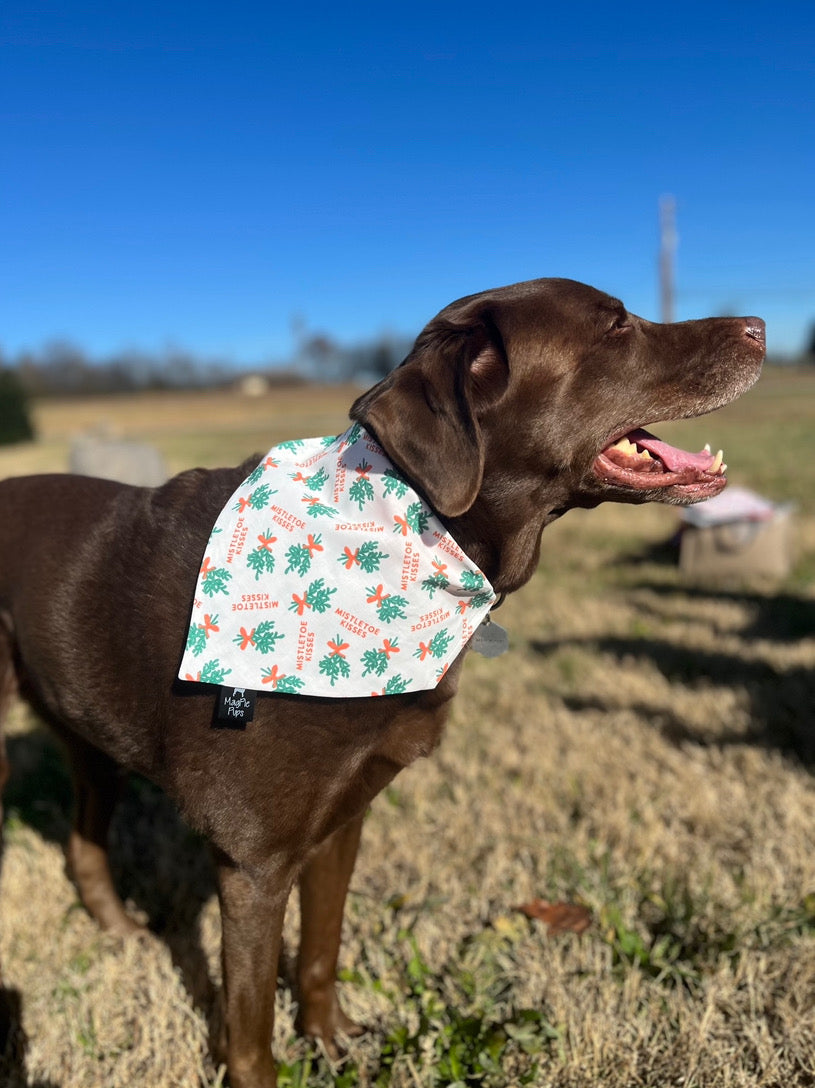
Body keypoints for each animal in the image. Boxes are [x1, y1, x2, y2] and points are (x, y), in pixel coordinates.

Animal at [0, 282, 761, 1088]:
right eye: (616, 325)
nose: (758, 326)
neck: (413, 526)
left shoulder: (341, 820)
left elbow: (321, 953)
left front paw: (332, 1044)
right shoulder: (254, 858)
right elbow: (248, 1032)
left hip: (88, 732)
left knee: (83, 844)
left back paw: (124, 936)